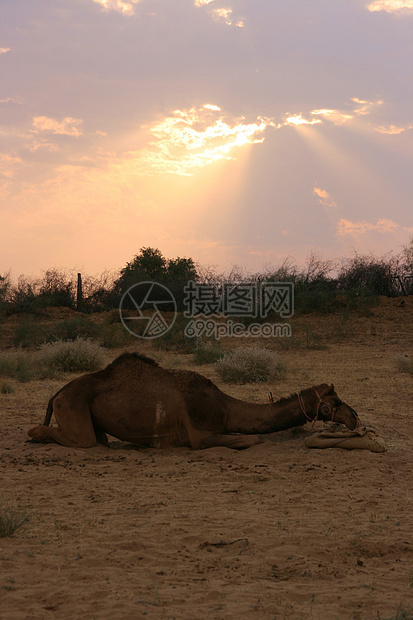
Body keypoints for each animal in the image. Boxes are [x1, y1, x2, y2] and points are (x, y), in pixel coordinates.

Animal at [28, 352, 358, 448]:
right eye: (336, 401)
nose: (355, 417)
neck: (225, 406)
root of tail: (57, 393)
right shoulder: (200, 434)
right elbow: (249, 440)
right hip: (73, 405)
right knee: (83, 440)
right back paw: (35, 434)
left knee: (100, 440)